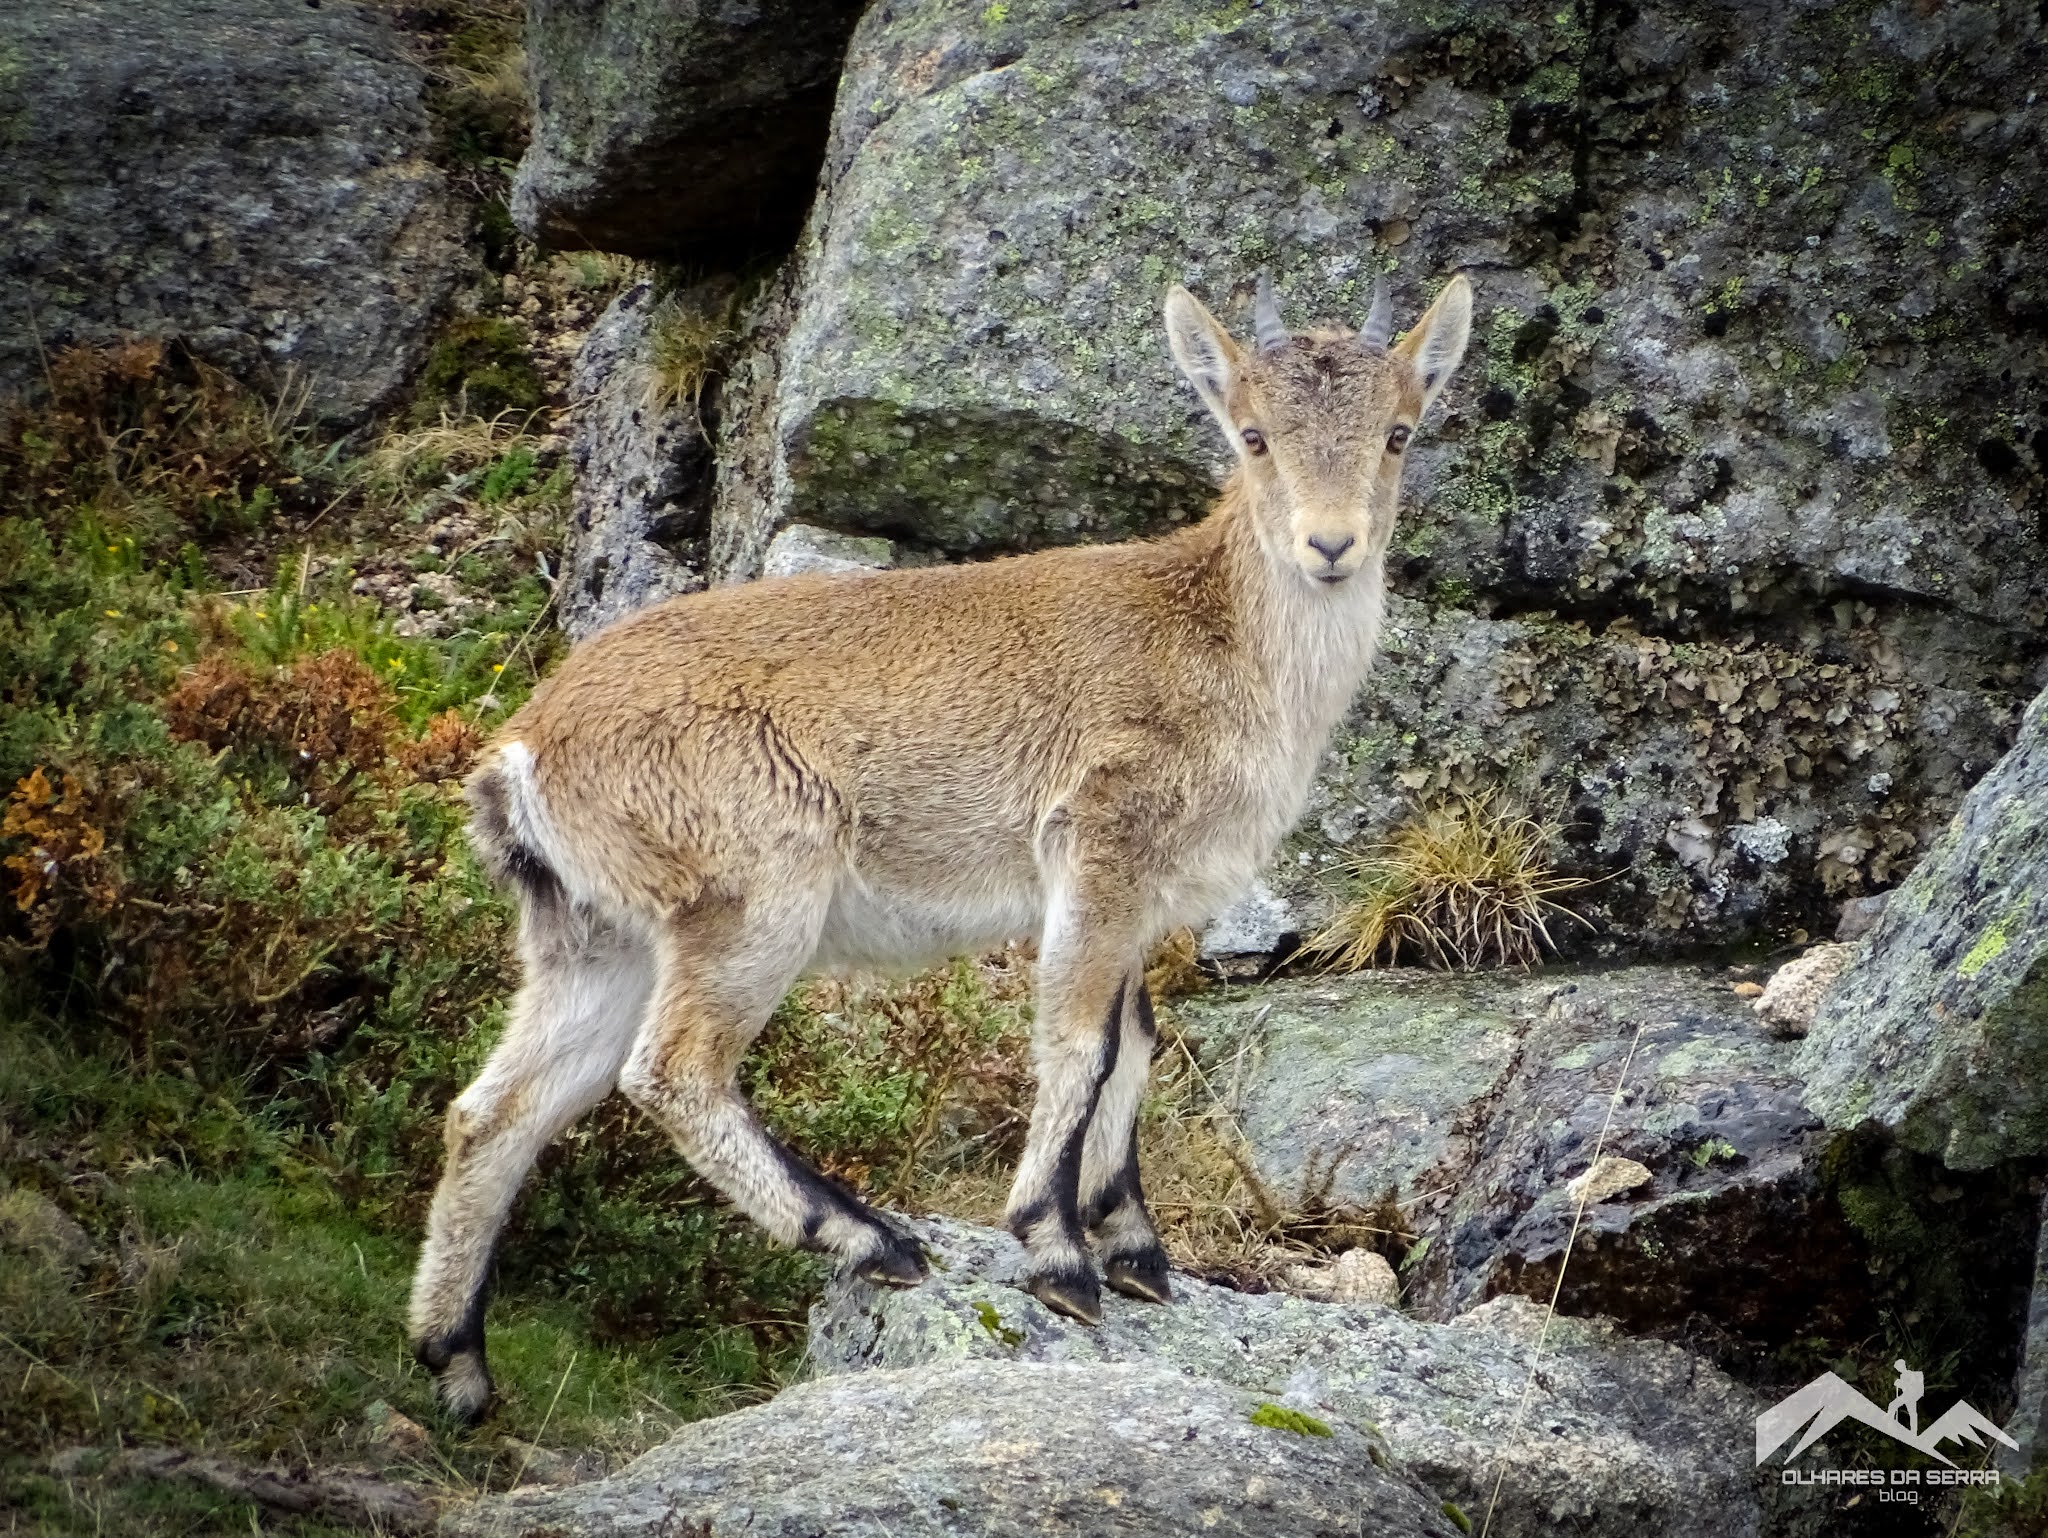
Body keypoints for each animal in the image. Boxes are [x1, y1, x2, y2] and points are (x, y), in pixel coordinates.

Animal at [407, 271, 1474, 1422]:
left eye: (1398, 432)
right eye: (1253, 434)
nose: (1331, 546)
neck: (1220, 642)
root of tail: (523, 750)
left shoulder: (1141, 898)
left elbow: (1136, 1040)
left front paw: (1135, 1250)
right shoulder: (1097, 845)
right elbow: (1081, 1043)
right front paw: (1056, 1255)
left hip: (591, 936)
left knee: (494, 1110)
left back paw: (456, 1361)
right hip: (751, 895)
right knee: (672, 1070)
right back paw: (867, 1236)